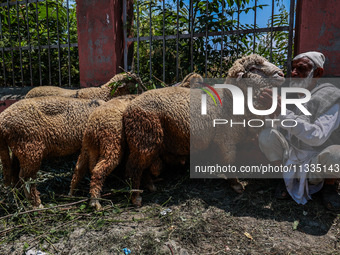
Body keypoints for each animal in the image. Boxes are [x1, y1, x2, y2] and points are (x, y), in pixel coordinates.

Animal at [122, 53, 284, 205]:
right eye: (253, 68)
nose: (282, 74)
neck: (230, 102)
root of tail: (130, 107)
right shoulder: (225, 140)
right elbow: (229, 161)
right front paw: (235, 184)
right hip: (144, 136)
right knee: (133, 167)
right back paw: (135, 196)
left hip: (146, 140)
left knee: (142, 166)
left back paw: (149, 185)